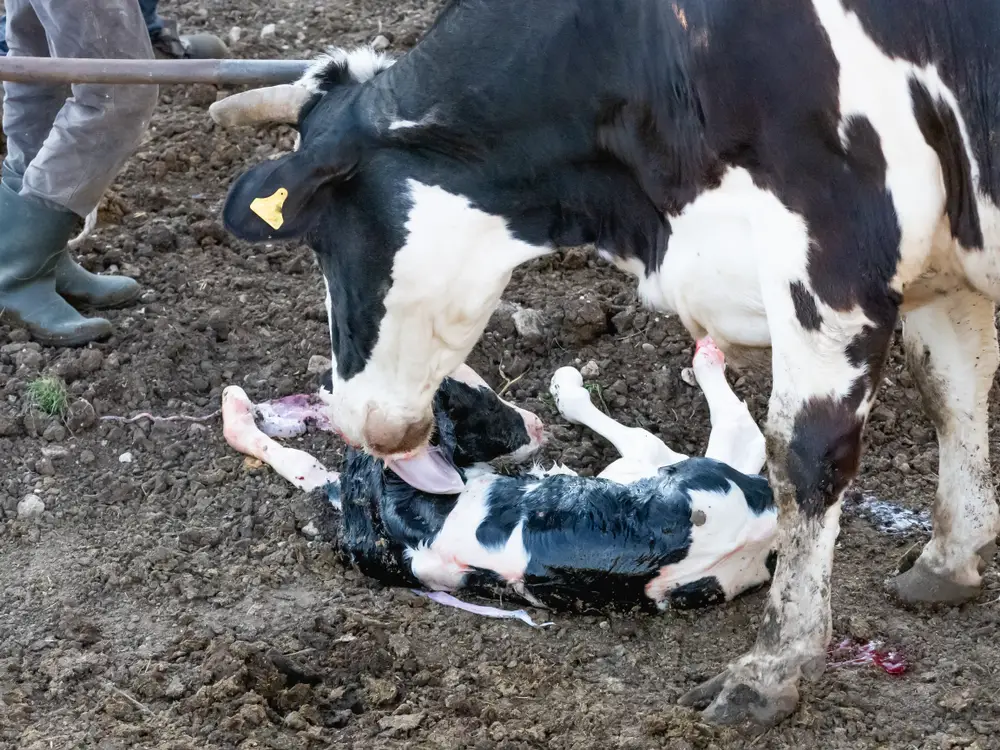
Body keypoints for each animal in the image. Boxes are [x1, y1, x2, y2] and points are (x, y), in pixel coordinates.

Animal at [223, 338, 776, 612]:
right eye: (481, 404)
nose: (534, 427)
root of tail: (764, 527)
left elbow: (302, 465)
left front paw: (236, 410)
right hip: (672, 467)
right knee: (731, 428)